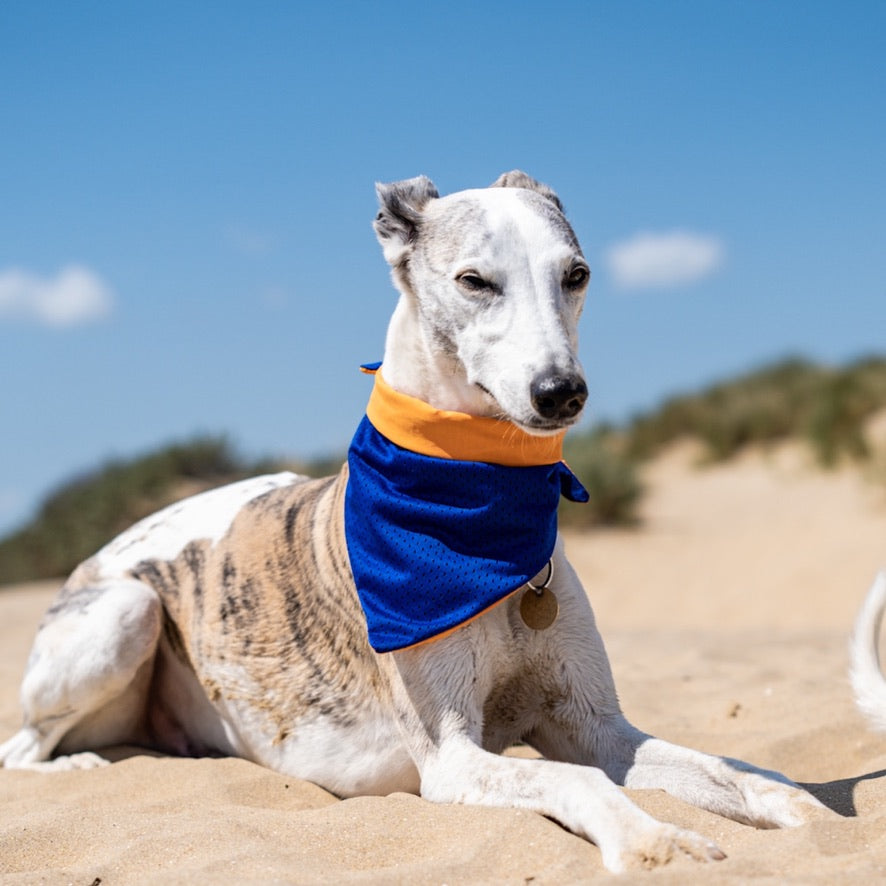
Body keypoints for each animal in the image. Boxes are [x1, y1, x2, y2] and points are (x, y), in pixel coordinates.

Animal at [0, 173, 832, 876]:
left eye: (577, 274)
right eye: (473, 280)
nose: (561, 392)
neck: (477, 513)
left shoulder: (592, 722)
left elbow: (731, 770)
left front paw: (811, 816)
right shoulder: (450, 754)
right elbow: (581, 783)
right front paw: (654, 841)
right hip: (125, 613)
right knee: (24, 747)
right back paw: (78, 765)